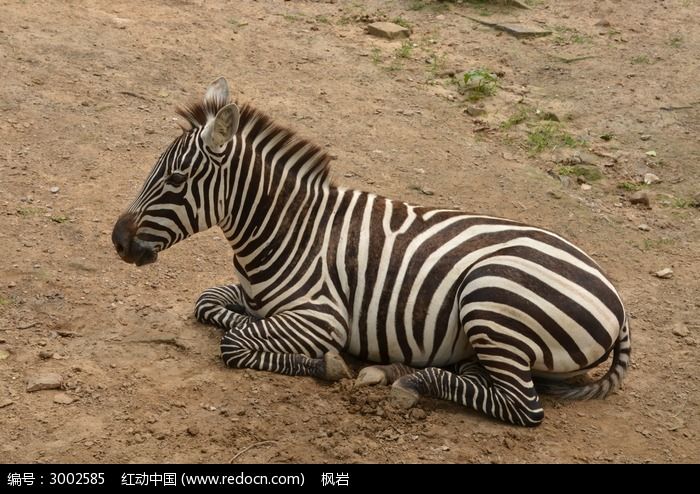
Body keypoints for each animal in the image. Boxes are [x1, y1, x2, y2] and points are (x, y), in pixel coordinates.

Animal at [113, 77, 628, 424]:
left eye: (176, 179)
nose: (118, 241)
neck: (289, 228)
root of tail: (618, 300)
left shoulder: (321, 315)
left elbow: (235, 342)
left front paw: (325, 361)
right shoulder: (250, 296)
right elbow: (209, 304)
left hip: (492, 296)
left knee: (524, 407)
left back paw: (410, 379)